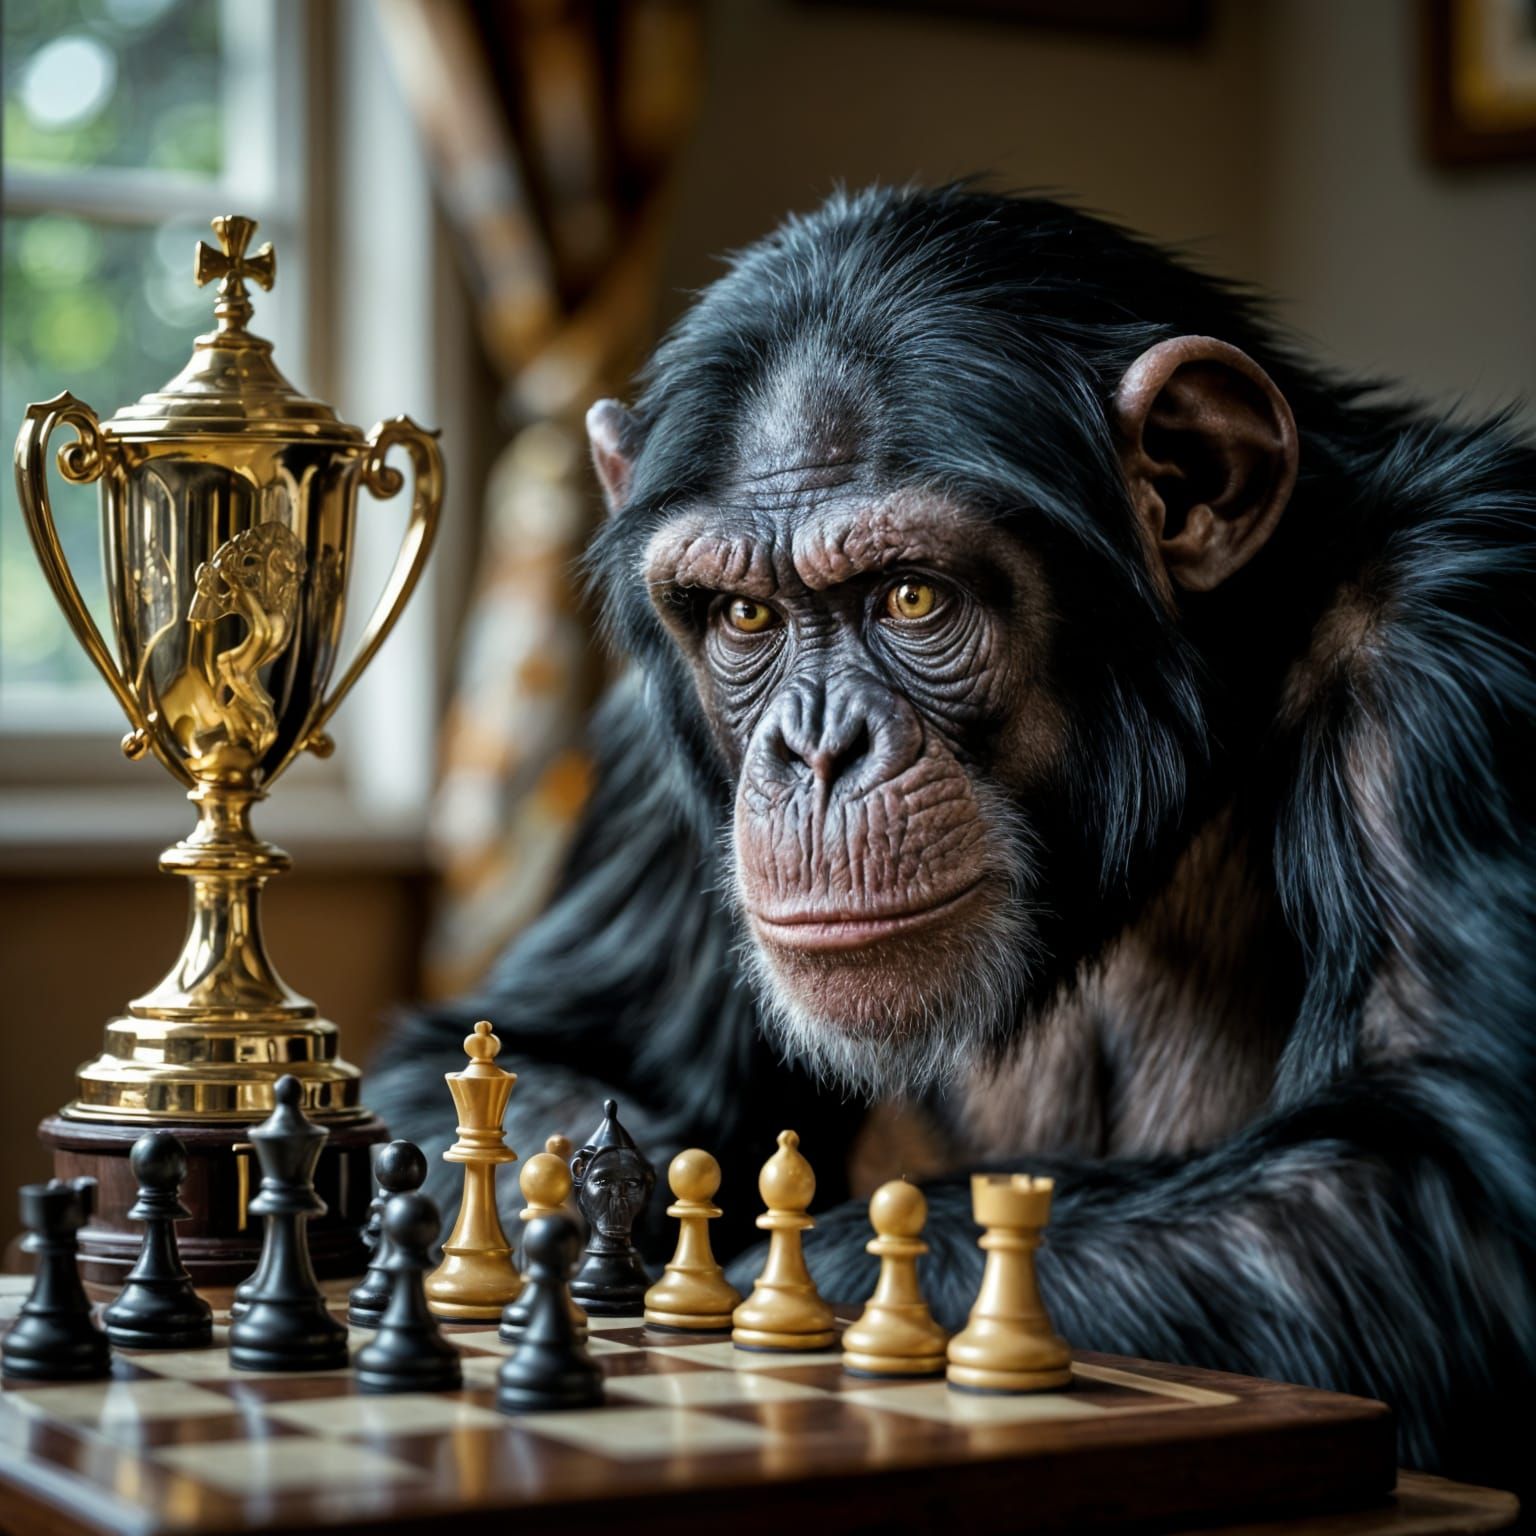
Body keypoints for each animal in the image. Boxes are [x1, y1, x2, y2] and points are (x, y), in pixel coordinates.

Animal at [370, 184, 1535, 1490]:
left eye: (912, 595)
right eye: (743, 616)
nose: (814, 747)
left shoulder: (1457, 629)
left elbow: (1416, 1181)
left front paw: (733, 1280)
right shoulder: (639, 747)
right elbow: (545, 1048)